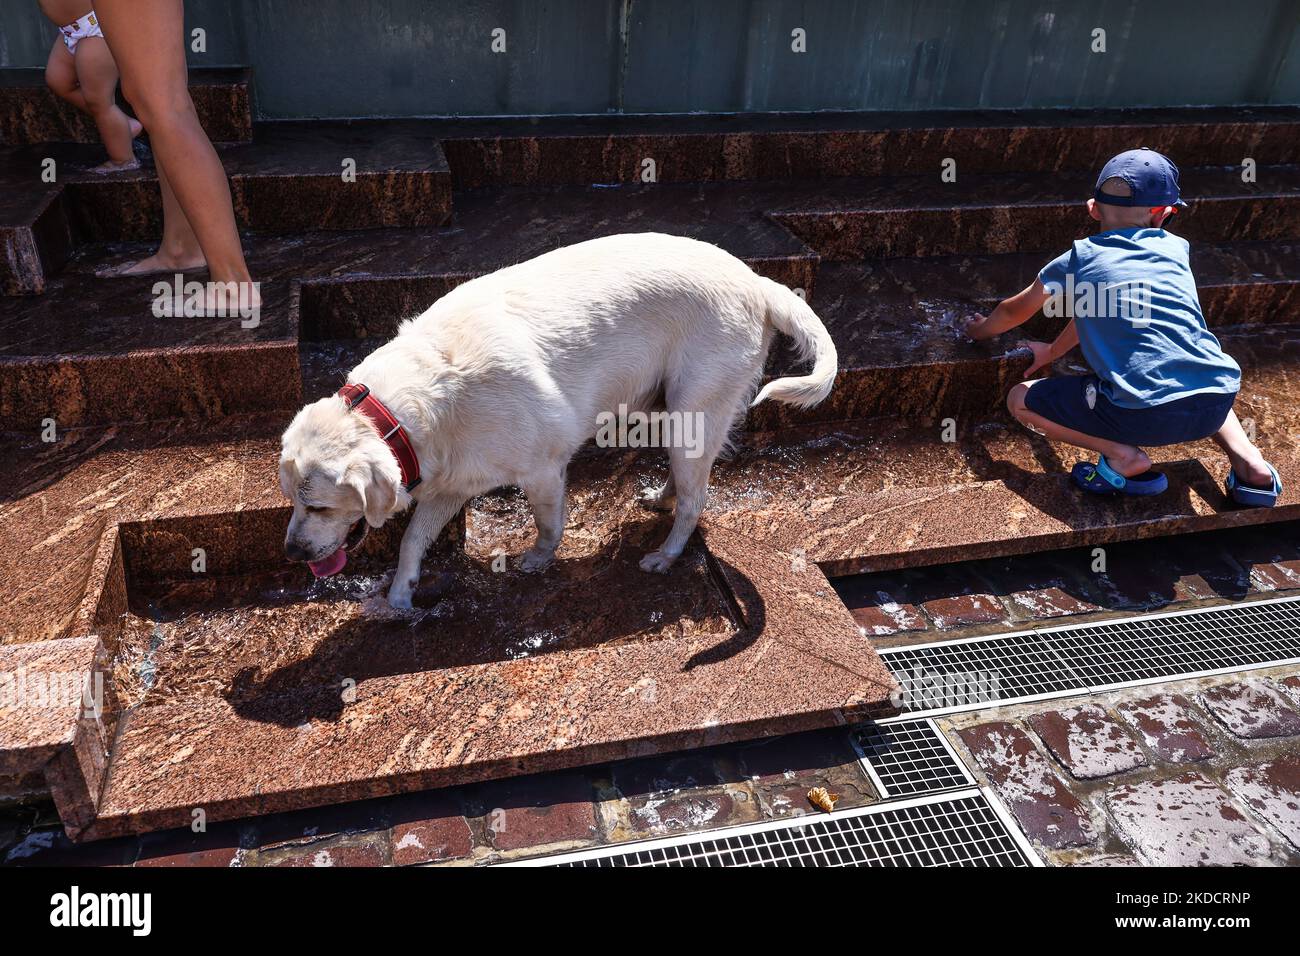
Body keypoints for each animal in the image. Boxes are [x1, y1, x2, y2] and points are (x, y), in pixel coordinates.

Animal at [279, 231, 837, 606]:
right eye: (293, 502)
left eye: (321, 507)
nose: (292, 554)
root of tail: (757, 281)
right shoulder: (451, 483)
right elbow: (413, 540)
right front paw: (399, 596)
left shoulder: (543, 468)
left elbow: (548, 523)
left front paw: (539, 559)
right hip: (669, 410)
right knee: (686, 484)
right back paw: (662, 498)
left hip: (694, 410)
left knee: (697, 499)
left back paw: (666, 555)